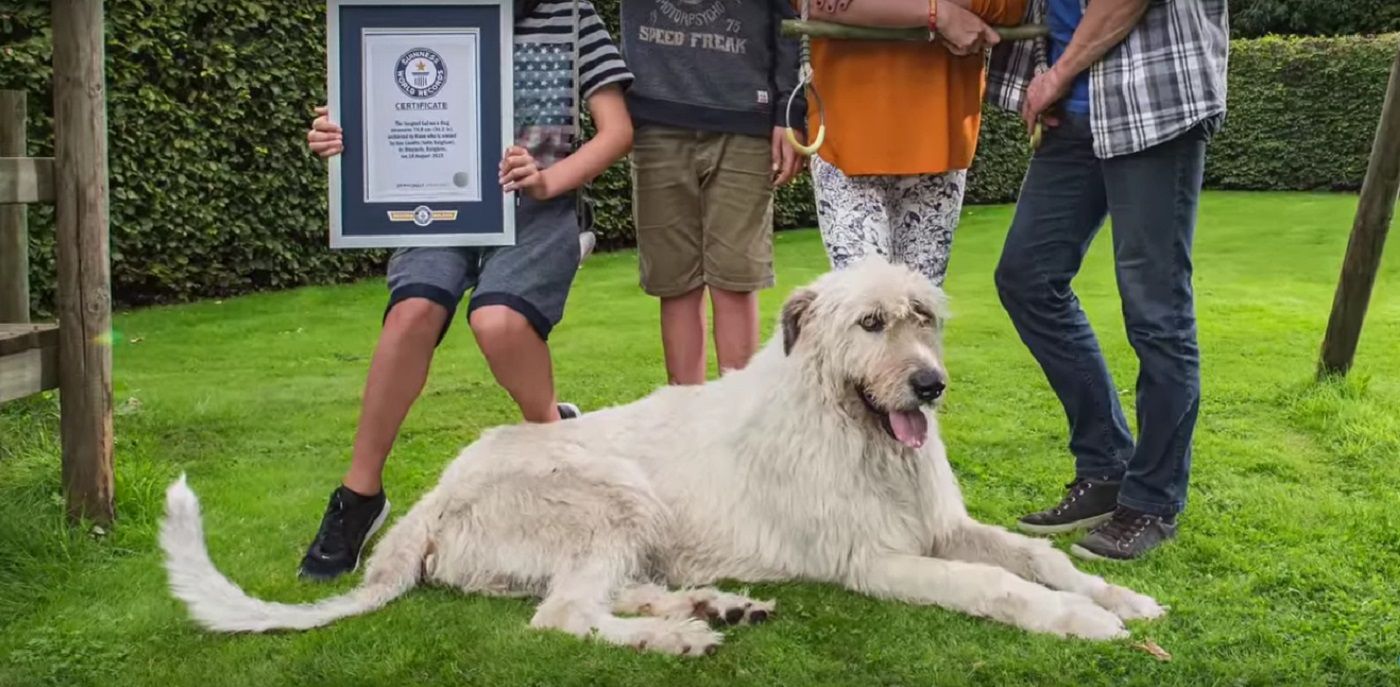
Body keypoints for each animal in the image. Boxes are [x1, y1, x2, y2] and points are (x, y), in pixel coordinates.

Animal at [158, 257, 1164, 654]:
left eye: (924, 316)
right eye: (870, 323)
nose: (930, 386)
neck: (848, 428)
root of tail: (430, 501)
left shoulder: (940, 526)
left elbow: (1028, 554)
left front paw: (1115, 595)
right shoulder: (875, 559)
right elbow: (995, 583)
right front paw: (1080, 620)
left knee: (605, 589)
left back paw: (711, 602)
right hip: (611, 491)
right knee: (563, 614)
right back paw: (673, 632)